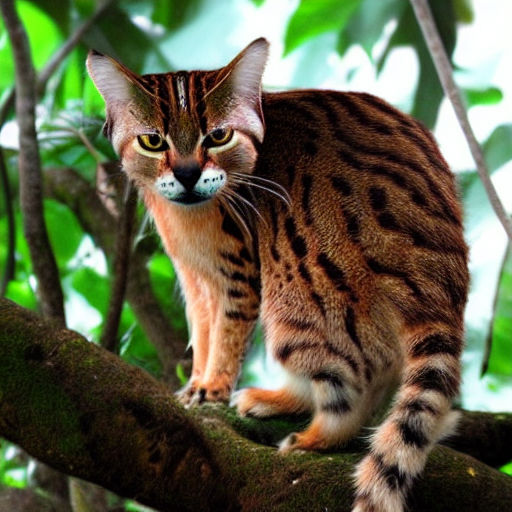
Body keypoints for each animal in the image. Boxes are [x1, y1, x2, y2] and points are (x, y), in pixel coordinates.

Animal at [87, 37, 468, 512]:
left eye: (219, 136)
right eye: (153, 141)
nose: (188, 174)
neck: (188, 217)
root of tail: (440, 280)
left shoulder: (239, 272)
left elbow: (227, 333)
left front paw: (211, 389)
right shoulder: (195, 278)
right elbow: (204, 330)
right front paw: (196, 382)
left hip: (296, 281)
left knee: (355, 380)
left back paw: (318, 434)